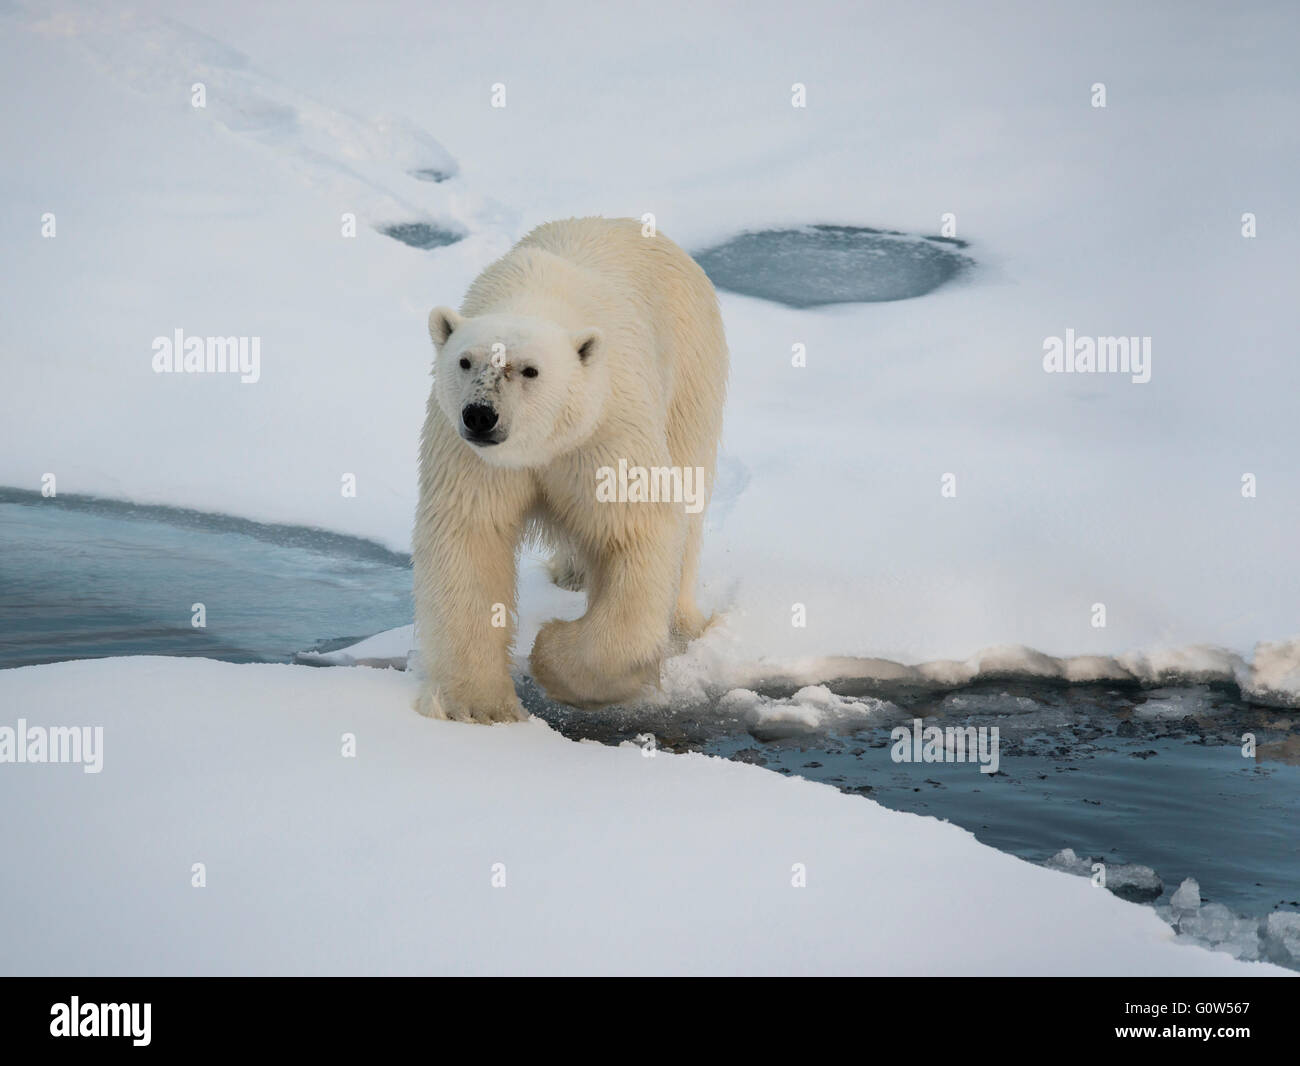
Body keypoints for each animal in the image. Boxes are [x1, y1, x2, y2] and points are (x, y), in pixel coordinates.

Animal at [410, 217, 728, 722]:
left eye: (529, 370)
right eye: (465, 360)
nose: (480, 415)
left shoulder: (605, 426)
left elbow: (637, 526)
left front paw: (551, 652)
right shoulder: (466, 454)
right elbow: (469, 536)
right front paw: (480, 707)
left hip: (690, 369)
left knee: (690, 490)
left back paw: (682, 621)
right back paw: (573, 573)